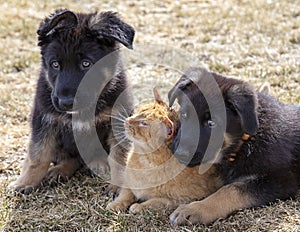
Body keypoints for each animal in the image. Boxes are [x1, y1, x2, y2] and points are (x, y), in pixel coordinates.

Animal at [9, 9, 135, 193]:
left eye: (86, 64)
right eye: (55, 64)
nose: (66, 102)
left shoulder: (118, 119)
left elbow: (119, 156)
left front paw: (119, 186)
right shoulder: (44, 119)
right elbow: (37, 156)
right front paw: (25, 182)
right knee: (71, 158)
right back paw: (58, 171)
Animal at [168, 66, 298, 225]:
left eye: (211, 123)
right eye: (184, 115)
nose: (179, 153)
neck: (244, 142)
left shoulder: (281, 180)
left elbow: (231, 190)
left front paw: (194, 209)